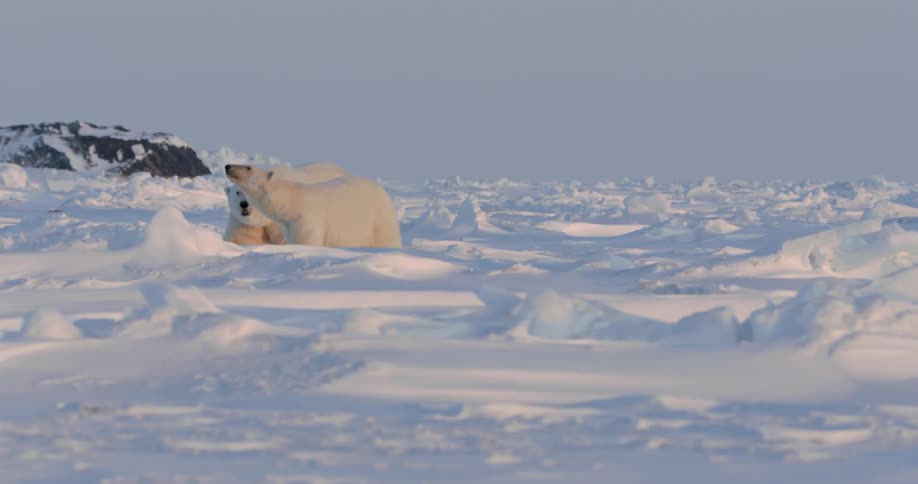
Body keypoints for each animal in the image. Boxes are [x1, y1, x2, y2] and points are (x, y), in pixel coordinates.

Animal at [225, 164, 403, 248]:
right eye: (237, 192)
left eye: (248, 167)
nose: (228, 166)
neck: (293, 202)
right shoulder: (289, 226)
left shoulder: (307, 221)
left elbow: (306, 242)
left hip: (378, 219)